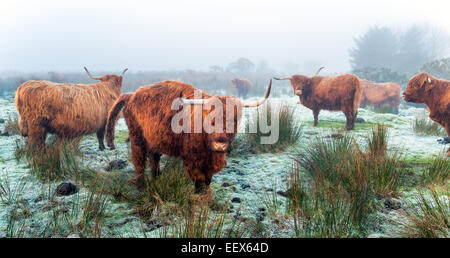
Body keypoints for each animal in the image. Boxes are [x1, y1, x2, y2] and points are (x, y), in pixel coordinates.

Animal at [105, 79, 272, 192]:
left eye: (235, 119)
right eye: (209, 118)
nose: (220, 144)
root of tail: (131, 95)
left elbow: (208, 180)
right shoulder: (193, 160)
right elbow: (199, 182)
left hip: (154, 139)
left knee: (154, 158)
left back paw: (156, 178)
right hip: (137, 138)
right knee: (139, 161)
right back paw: (142, 187)